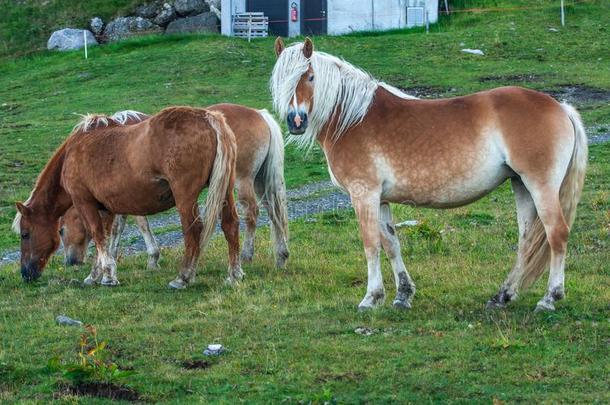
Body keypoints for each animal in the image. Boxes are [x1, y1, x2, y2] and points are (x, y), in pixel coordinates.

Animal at [13, 104, 242, 288]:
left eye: (25, 234)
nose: (25, 274)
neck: (74, 152)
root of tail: (209, 118)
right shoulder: (106, 209)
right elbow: (105, 240)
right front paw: (96, 275)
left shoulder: (84, 203)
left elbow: (98, 236)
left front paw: (108, 276)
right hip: (225, 191)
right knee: (230, 224)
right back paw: (234, 275)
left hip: (185, 197)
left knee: (193, 230)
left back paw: (183, 277)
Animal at [58, 102, 288, 270]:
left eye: (61, 231)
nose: (70, 262)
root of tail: (260, 114)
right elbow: (119, 225)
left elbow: (138, 224)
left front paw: (151, 259)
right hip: (260, 181)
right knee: (274, 211)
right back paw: (281, 255)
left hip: (242, 181)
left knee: (252, 213)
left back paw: (248, 255)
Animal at [270, 37, 584, 312]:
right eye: (279, 80)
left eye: (310, 76)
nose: (296, 121)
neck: (352, 119)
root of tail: (561, 107)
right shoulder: (380, 199)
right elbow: (391, 244)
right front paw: (402, 295)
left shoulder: (364, 194)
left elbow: (371, 245)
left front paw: (371, 298)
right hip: (521, 185)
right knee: (527, 241)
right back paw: (502, 295)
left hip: (540, 186)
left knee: (556, 233)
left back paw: (549, 298)